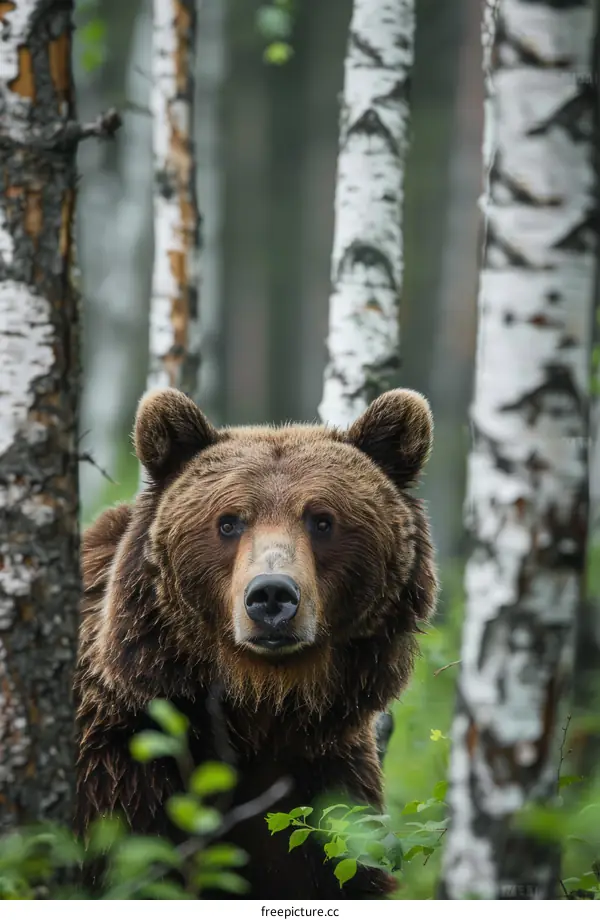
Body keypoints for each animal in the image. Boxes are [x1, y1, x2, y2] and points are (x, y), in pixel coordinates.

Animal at [74, 387, 437, 899]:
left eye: (321, 520)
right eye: (229, 522)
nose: (271, 595)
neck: (255, 710)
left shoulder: (319, 777)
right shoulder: (118, 767)